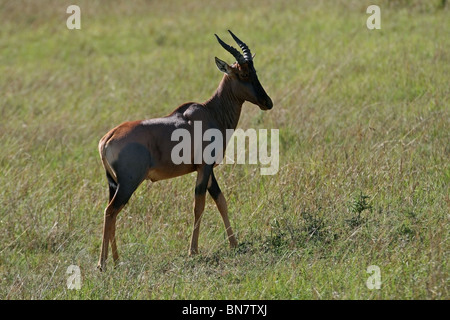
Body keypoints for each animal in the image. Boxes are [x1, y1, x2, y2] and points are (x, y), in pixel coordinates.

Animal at [98, 30, 272, 272]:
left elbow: (221, 201)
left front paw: (234, 244)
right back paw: (102, 263)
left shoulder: (207, 170)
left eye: (255, 71)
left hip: (113, 184)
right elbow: (199, 206)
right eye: (243, 73)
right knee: (110, 211)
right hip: (128, 183)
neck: (210, 112)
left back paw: (116, 260)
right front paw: (193, 251)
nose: (267, 102)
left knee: (111, 213)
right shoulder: (205, 167)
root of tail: (107, 138)